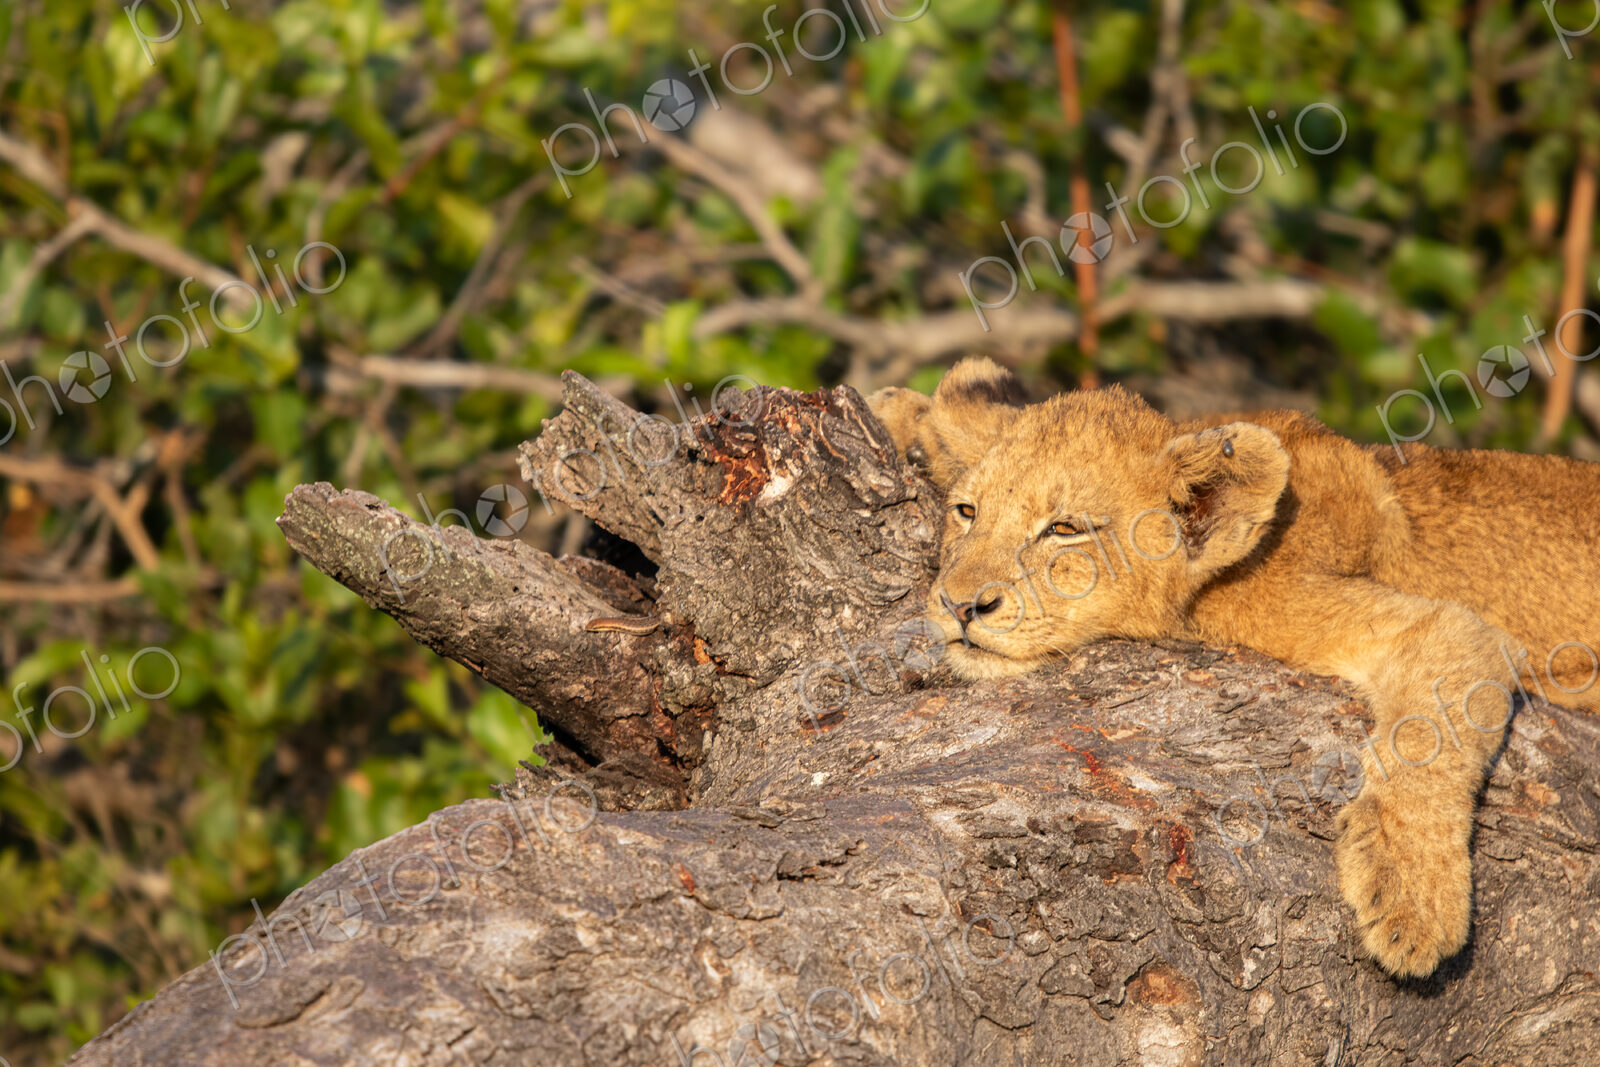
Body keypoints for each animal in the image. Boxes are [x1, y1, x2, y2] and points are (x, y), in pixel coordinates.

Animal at [868, 357, 1600, 979]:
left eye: (1064, 529)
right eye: (966, 512)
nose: (959, 604)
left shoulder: (1431, 624)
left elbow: (1429, 732)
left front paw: (1412, 898)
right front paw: (902, 412)